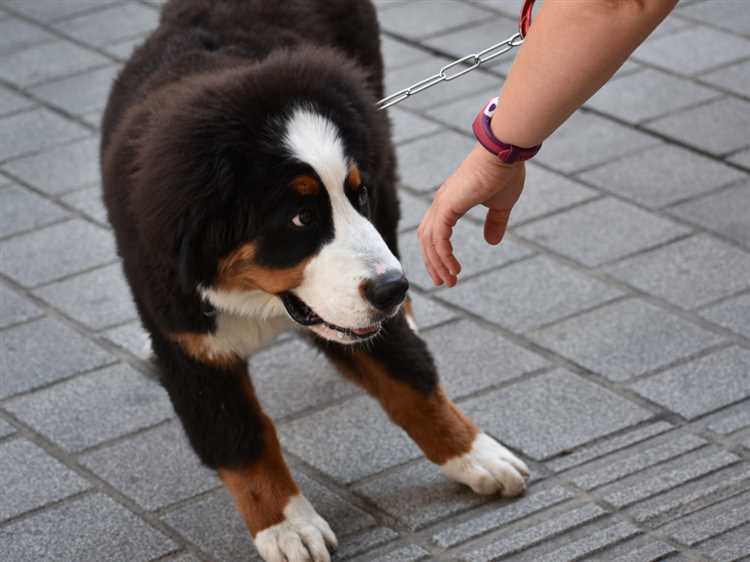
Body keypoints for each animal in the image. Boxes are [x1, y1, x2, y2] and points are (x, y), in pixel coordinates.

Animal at [101, 1, 528, 560]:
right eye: (301, 218)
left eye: (356, 195)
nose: (394, 289)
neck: (259, 299)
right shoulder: (191, 346)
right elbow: (241, 440)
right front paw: (287, 526)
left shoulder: (358, 306)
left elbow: (413, 383)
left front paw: (478, 454)